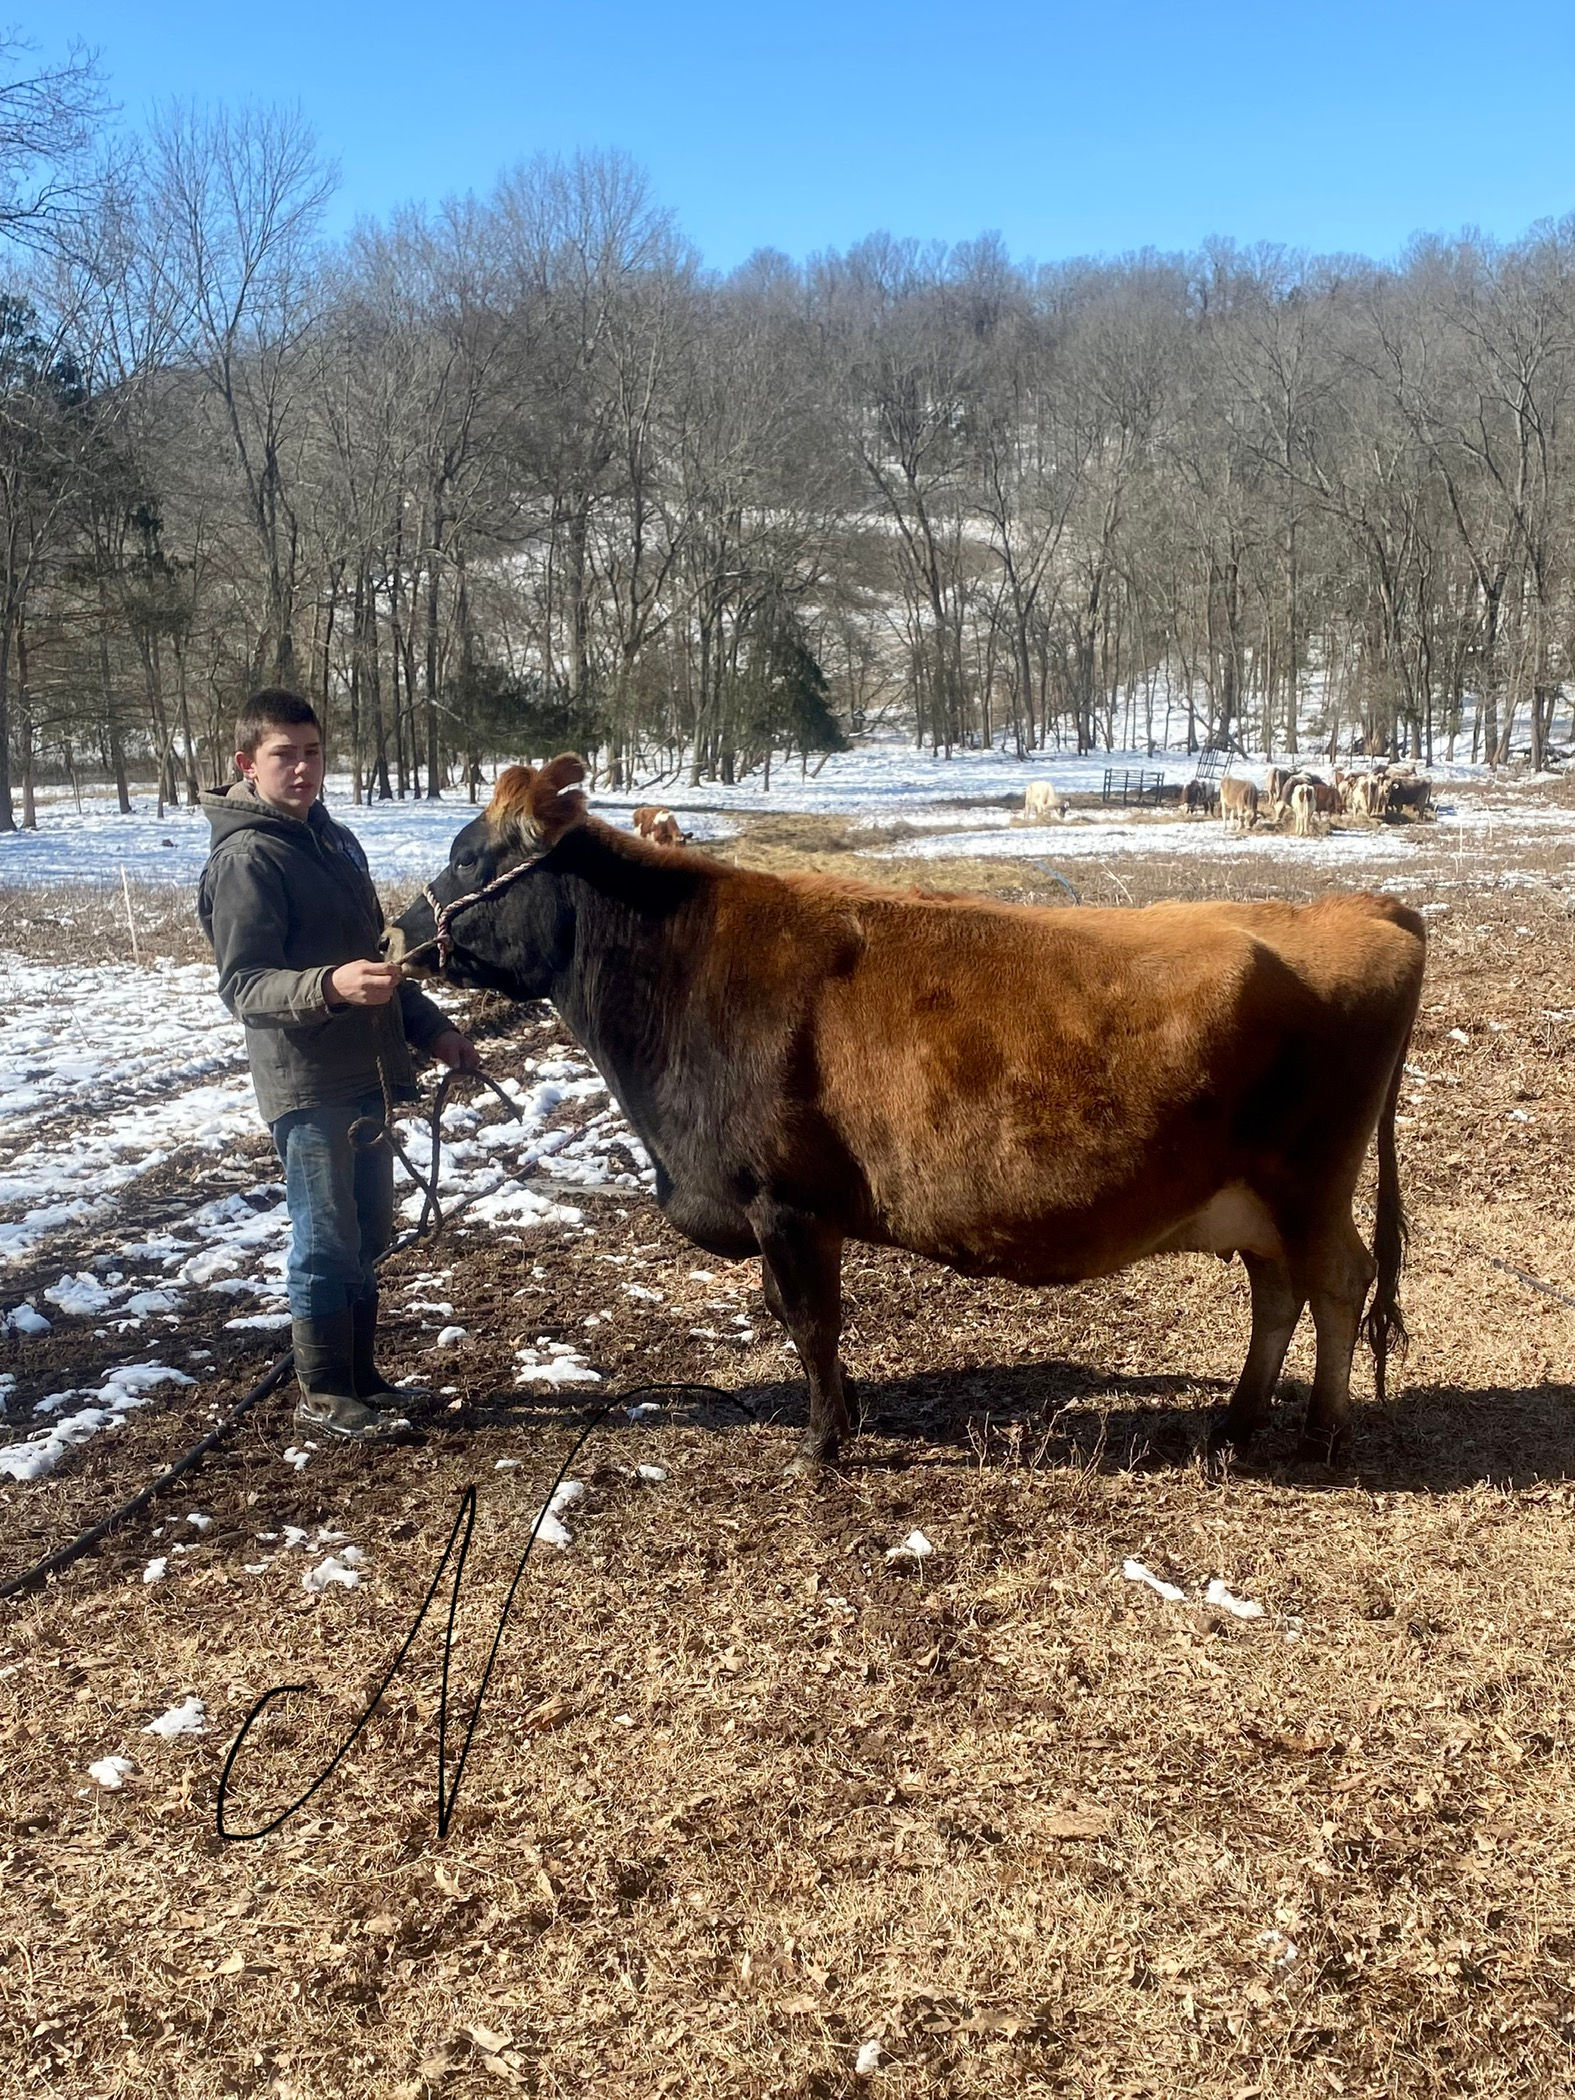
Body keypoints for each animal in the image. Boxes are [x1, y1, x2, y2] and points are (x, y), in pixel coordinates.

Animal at [388, 756, 1425, 1470]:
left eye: (467, 855)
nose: (397, 935)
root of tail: (1359, 906)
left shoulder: (785, 1201)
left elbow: (809, 1321)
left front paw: (822, 1445)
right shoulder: (791, 1211)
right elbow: (799, 1318)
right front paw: (842, 1417)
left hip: (1308, 1180)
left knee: (1338, 1280)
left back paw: (1322, 1433)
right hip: (1256, 1196)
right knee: (1276, 1290)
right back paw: (1238, 1420)